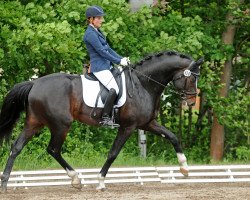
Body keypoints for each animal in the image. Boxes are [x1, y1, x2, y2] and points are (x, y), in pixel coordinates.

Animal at [0, 50, 203, 191]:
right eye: (191, 78)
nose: (192, 101)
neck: (143, 84)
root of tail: (34, 83)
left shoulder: (147, 124)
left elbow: (172, 137)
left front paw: (185, 168)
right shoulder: (128, 127)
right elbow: (112, 153)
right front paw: (100, 182)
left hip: (35, 122)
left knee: (16, 147)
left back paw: (5, 183)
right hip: (61, 124)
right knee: (53, 149)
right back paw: (76, 179)